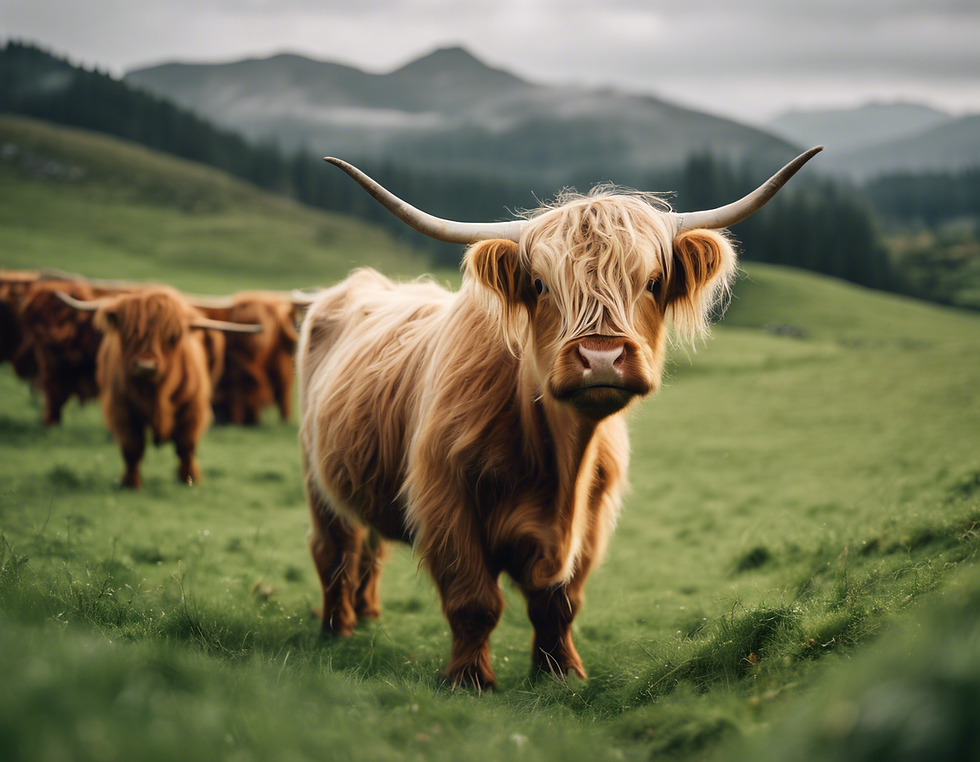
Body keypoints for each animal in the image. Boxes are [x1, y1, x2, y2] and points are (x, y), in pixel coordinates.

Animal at [57, 286, 262, 488]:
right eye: (129, 333)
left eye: (172, 336)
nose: (145, 366)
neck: (155, 392)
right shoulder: (123, 410)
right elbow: (132, 448)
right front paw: (131, 483)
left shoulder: (193, 410)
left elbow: (186, 447)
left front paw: (189, 479)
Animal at [298, 147, 822, 690]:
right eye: (539, 284)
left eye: (652, 282)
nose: (602, 357)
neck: (557, 463)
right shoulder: (446, 501)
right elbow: (473, 601)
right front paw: (470, 680)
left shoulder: (592, 515)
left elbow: (559, 603)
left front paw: (561, 674)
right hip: (317, 477)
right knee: (334, 550)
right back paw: (337, 630)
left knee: (368, 548)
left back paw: (367, 615)